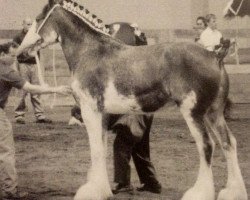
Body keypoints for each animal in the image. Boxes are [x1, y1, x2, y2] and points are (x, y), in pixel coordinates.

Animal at [18, 0, 248, 200]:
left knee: (207, 146)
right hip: (213, 113)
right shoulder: (103, 114)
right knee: (228, 143)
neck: (90, 51)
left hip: (194, 113)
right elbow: (101, 148)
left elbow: (96, 150)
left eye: (38, 19)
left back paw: (198, 193)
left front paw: (91, 191)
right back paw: (234, 192)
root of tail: (215, 56)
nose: (20, 54)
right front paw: (102, 189)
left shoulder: (90, 110)